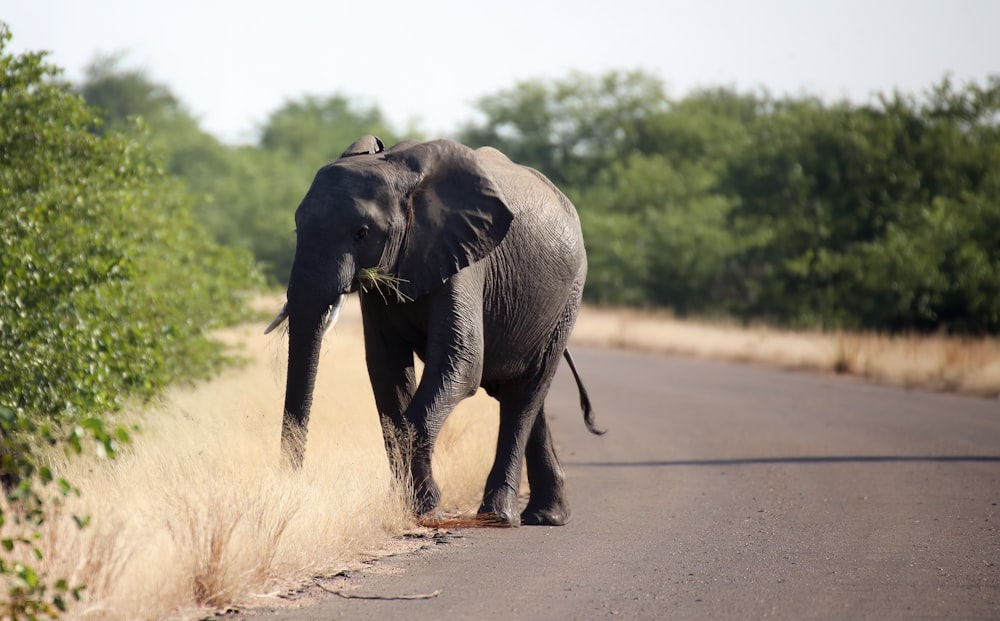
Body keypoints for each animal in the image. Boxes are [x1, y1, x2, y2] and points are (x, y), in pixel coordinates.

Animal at [264, 134, 600, 524]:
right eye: (297, 227)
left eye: (362, 233)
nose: (293, 485)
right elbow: (386, 369)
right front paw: (410, 506)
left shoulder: (466, 260)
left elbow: (461, 363)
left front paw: (424, 508)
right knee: (523, 395)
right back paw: (546, 517)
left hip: (568, 297)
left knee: (526, 393)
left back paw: (499, 516)